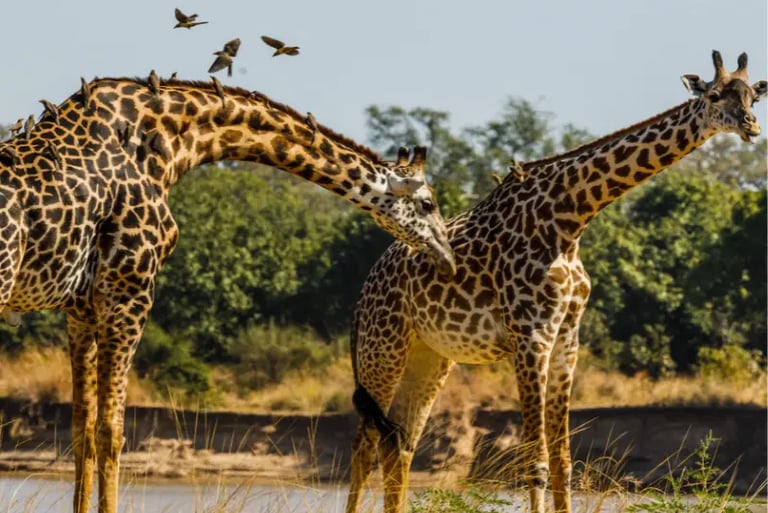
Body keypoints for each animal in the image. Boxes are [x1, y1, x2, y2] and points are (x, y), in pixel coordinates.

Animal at [0, 74, 456, 513]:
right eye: (429, 203)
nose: (448, 257)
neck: (168, 145)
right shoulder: (129, 290)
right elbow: (111, 432)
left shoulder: (81, 308)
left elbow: (82, 431)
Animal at [345, 51, 766, 513]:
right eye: (714, 95)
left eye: (753, 97)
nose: (750, 125)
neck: (570, 217)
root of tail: (365, 289)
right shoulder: (530, 337)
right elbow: (537, 462)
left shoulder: (567, 338)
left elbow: (564, 461)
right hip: (383, 347)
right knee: (364, 447)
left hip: (430, 355)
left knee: (400, 443)